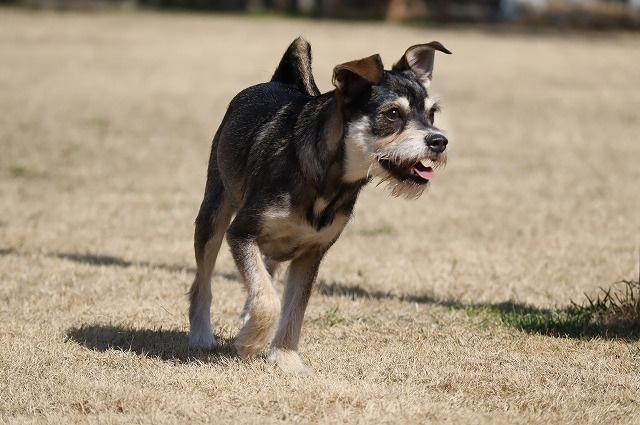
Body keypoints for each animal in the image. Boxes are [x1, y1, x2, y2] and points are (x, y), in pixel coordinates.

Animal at [188, 37, 451, 373]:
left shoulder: (312, 253)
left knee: (266, 271)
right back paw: (201, 334)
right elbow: (269, 301)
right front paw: (251, 343)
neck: (326, 180)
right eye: (392, 113)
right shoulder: (242, 232)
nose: (439, 142)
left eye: (432, 113)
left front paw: (286, 360)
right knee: (204, 281)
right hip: (213, 214)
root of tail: (278, 81)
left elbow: (294, 309)